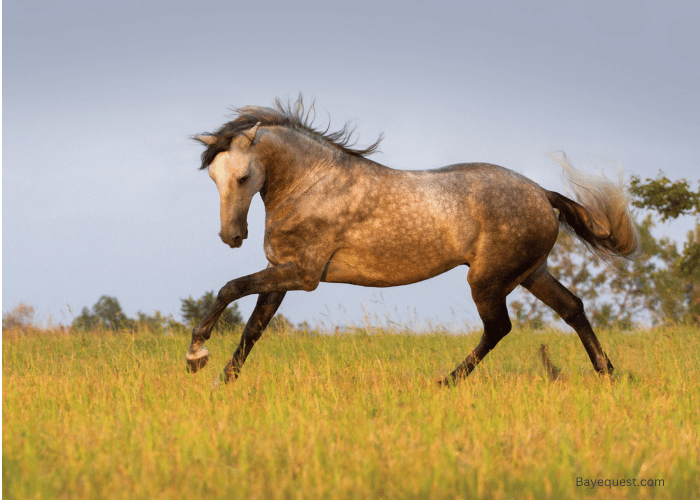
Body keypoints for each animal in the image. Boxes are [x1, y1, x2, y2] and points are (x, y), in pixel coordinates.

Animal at [186, 98, 640, 386]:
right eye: (214, 177)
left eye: (244, 176)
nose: (232, 236)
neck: (312, 185)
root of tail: (543, 194)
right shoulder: (281, 273)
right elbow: (253, 328)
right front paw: (223, 382)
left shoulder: (301, 274)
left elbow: (230, 289)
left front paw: (196, 356)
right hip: (531, 273)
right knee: (572, 308)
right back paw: (609, 375)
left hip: (487, 279)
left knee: (499, 327)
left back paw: (446, 382)